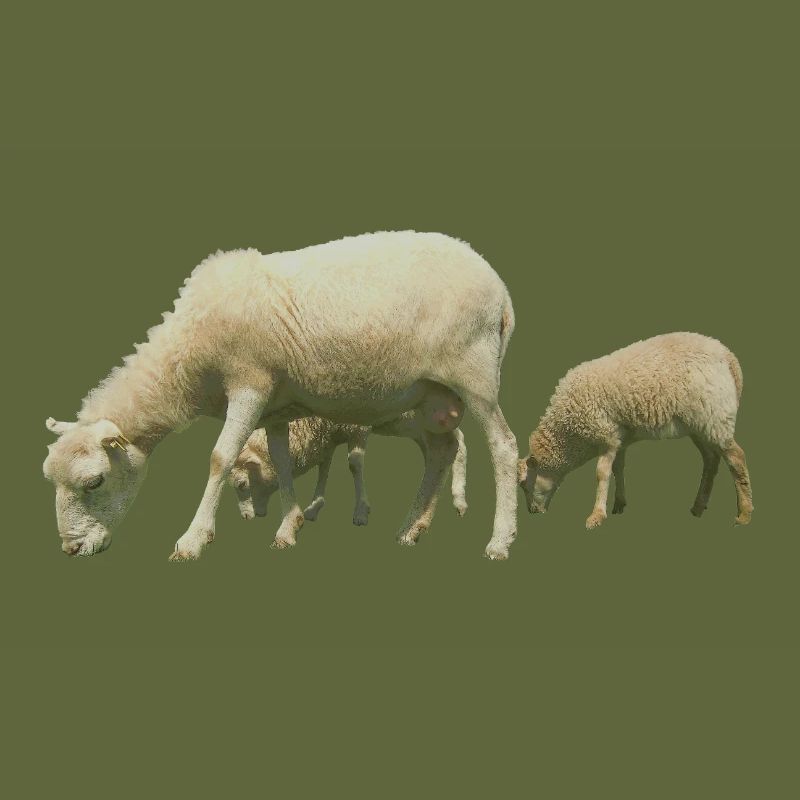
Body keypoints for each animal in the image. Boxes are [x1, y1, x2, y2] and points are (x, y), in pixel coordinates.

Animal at [229, 408, 469, 526]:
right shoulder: (328, 433)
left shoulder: (358, 426)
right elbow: (324, 466)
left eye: (241, 484)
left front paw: (361, 511)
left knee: (458, 444)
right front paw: (315, 506)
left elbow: (354, 463)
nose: (248, 517)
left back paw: (458, 499)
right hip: (408, 423)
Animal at [518, 332, 753, 529]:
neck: (569, 436)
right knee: (711, 460)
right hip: (700, 425)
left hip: (715, 417)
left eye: (524, 485)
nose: (532, 512)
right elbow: (618, 468)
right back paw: (698, 506)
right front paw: (619, 504)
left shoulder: (606, 436)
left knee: (736, 458)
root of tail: (728, 357)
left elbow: (601, 474)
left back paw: (744, 514)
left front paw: (596, 516)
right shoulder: (619, 438)